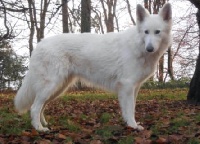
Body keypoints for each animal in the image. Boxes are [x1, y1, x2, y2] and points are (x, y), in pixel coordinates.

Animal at [14, 3, 173, 132]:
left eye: (157, 32)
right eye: (146, 32)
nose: (149, 48)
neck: (138, 45)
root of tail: (39, 44)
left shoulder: (134, 87)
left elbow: (132, 107)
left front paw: (130, 124)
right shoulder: (127, 86)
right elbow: (129, 109)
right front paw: (133, 126)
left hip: (57, 88)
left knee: (41, 106)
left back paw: (44, 124)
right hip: (52, 85)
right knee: (34, 107)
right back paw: (39, 128)